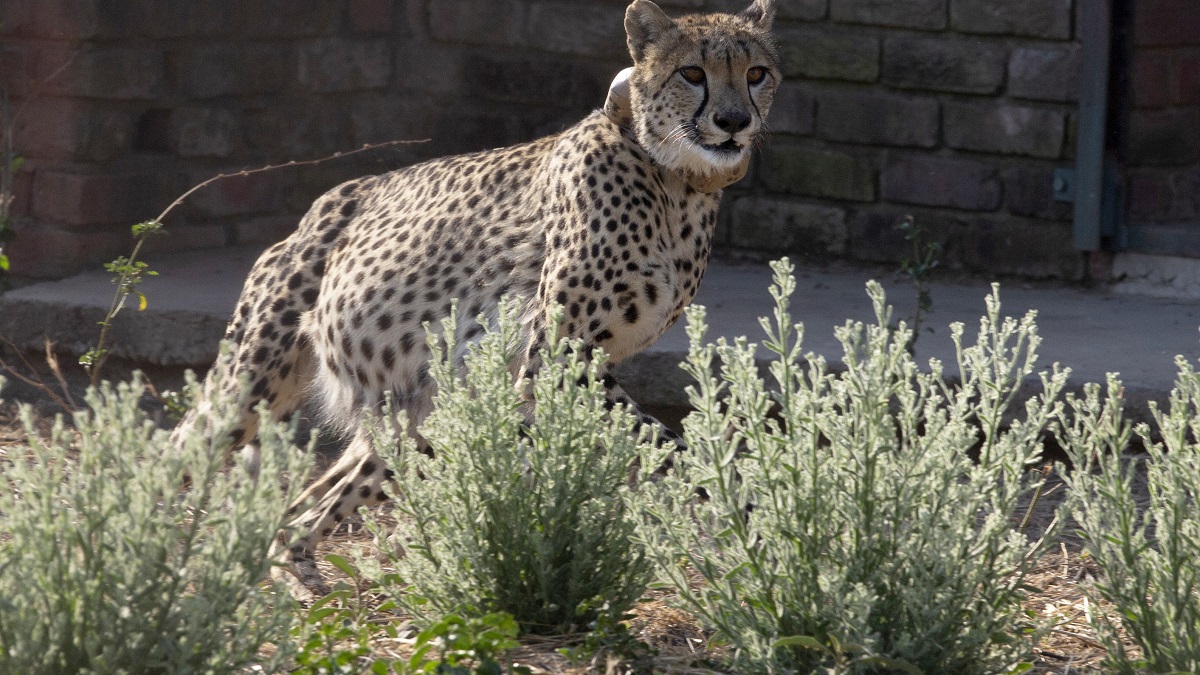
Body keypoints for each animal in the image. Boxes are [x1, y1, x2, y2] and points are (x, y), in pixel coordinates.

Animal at [174, 0, 782, 588]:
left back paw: (294, 568)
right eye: (692, 73)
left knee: (314, 503)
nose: (734, 121)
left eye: (756, 73)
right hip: (248, 385)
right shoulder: (556, 360)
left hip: (418, 410)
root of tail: (315, 210)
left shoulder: (578, 363)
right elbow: (660, 440)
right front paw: (742, 506)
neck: (678, 183)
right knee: (182, 449)